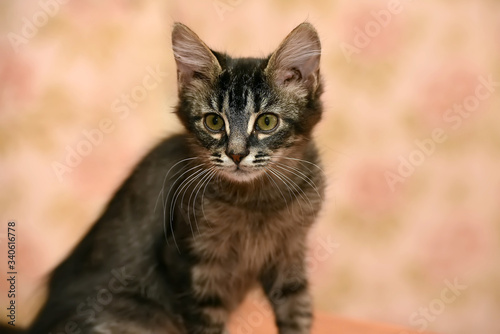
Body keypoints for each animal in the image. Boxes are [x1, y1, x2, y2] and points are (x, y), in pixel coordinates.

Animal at [5, 21, 326, 334]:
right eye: (213, 122)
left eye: (267, 122)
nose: (236, 155)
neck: (259, 201)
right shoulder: (190, 263)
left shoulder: (289, 258)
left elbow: (298, 314)